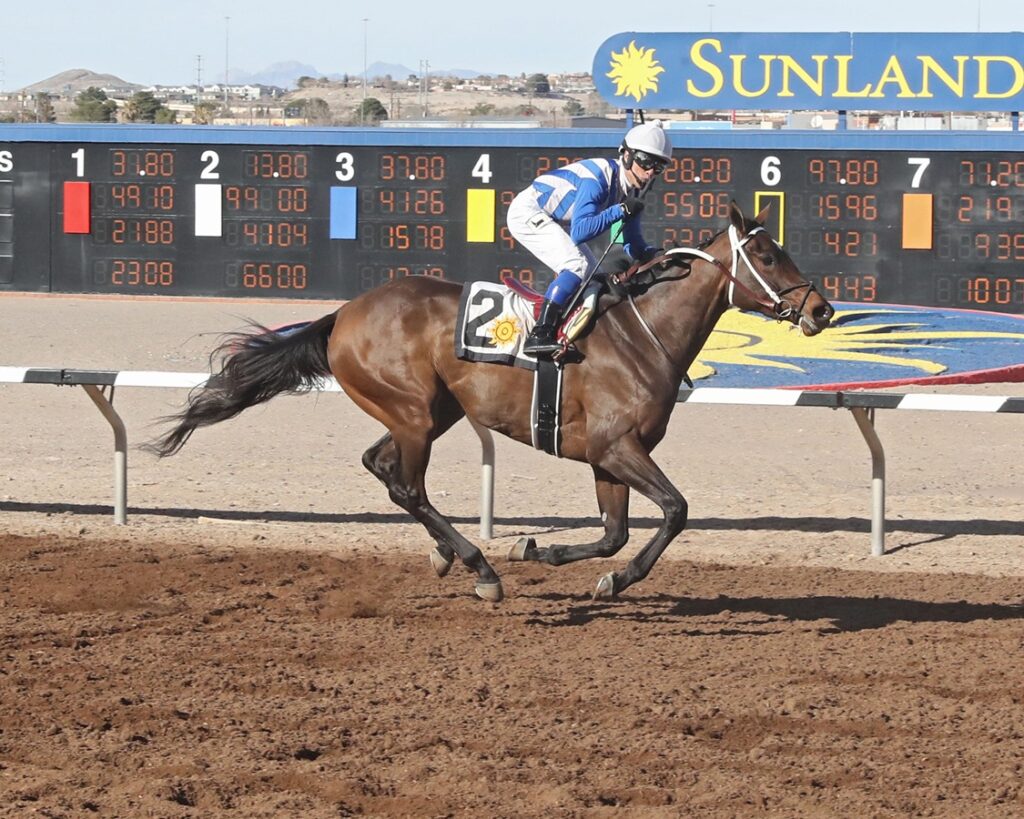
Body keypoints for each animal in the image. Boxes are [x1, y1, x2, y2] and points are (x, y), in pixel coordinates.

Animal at [148, 202, 831, 601]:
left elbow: (613, 533)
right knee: (406, 486)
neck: (643, 334)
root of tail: (344, 312)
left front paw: (543, 550)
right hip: (414, 411)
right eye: (766, 254)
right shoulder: (618, 447)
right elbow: (675, 511)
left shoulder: (607, 456)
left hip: (430, 411)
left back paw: (450, 555)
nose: (822, 310)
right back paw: (478, 569)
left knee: (380, 465)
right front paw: (612, 580)